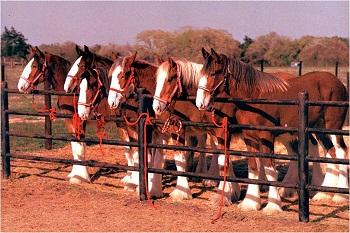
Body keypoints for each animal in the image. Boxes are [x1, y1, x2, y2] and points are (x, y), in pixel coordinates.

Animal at [16, 46, 93, 184]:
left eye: (34, 65)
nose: (21, 86)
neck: (71, 91)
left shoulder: (80, 119)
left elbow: (80, 145)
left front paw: (82, 177)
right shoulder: (67, 117)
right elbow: (74, 145)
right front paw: (74, 174)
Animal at [196, 47, 348, 213]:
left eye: (213, 73)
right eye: (202, 73)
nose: (200, 103)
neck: (255, 98)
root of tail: (339, 83)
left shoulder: (266, 137)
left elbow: (269, 169)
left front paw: (273, 205)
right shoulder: (249, 138)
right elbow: (253, 167)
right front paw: (250, 203)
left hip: (333, 128)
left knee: (341, 151)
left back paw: (340, 196)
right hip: (319, 128)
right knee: (330, 152)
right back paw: (324, 194)